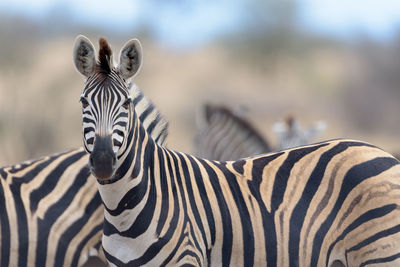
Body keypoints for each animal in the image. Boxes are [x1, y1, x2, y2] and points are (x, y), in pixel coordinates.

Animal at [73, 36, 400, 267]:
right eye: (83, 102)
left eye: (126, 104)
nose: (103, 162)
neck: (124, 208)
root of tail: (380, 152)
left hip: (381, 253)